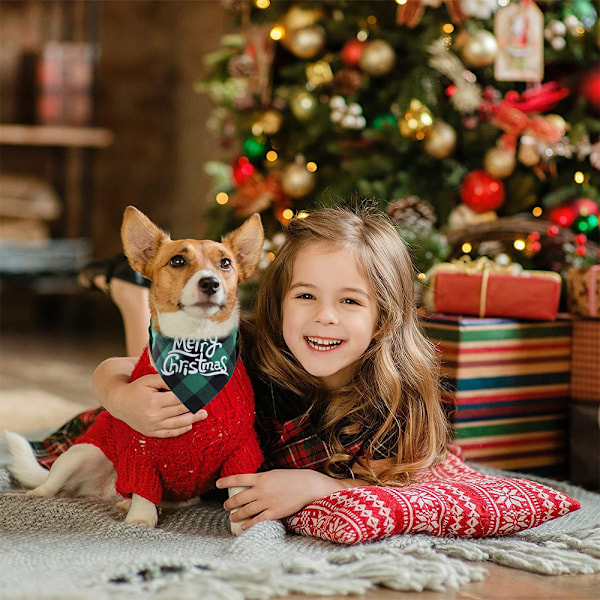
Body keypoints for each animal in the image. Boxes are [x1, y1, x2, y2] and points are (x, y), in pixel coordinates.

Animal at [4, 207, 262, 536]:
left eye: (225, 263)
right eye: (177, 261)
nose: (210, 283)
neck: (194, 355)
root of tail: (104, 491)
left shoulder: (239, 451)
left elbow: (239, 490)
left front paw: (245, 525)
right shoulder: (140, 452)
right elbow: (143, 492)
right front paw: (140, 522)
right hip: (82, 454)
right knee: (46, 488)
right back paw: (21, 497)